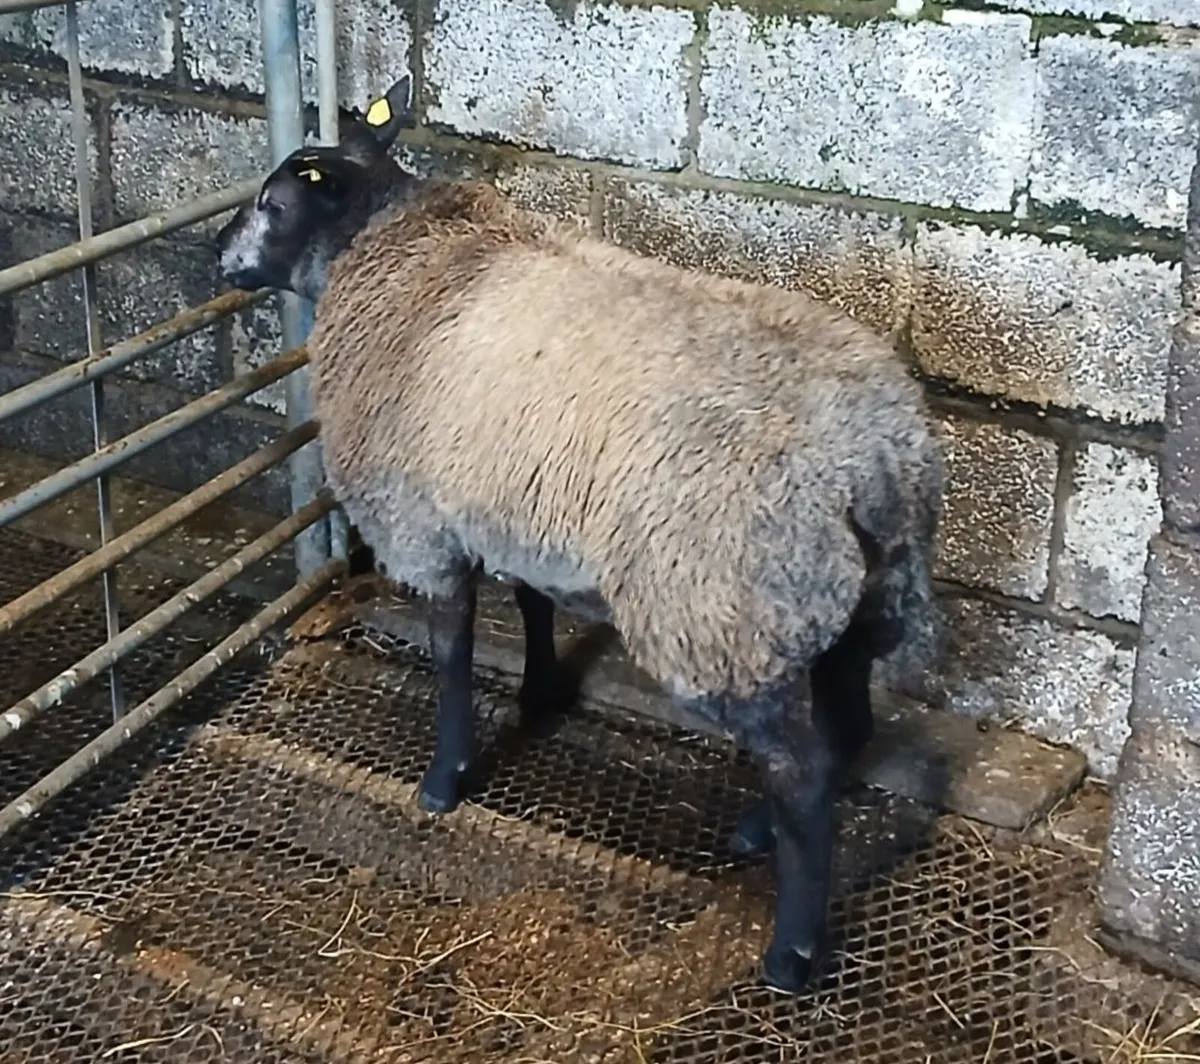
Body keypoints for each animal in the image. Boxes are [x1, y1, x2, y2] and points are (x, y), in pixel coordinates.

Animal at [214, 73, 945, 995]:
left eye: (273, 204)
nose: (215, 252)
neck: (396, 248)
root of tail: (879, 456)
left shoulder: (423, 520)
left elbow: (451, 652)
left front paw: (444, 779)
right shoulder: (515, 505)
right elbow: (532, 604)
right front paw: (540, 694)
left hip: (724, 609)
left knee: (807, 778)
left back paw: (790, 951)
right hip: (854, 597)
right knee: (845, 731)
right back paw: (756, 831)